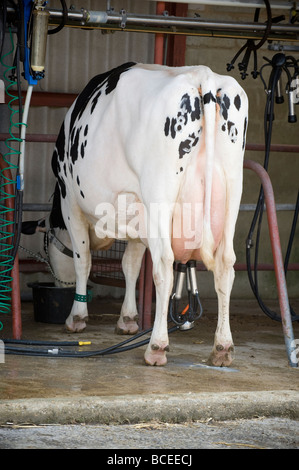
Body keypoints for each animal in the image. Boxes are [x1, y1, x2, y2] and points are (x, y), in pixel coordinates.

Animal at [24, 63, 248, 368]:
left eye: (47, 248)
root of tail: (203, 75)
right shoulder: (139, 213)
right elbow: (130, 265)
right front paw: (128, 319)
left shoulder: (71, 202)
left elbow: (84, 261)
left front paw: (77, 317)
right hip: (231, 192)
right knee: (226, 264)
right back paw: (222, 348)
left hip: (159, 191)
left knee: (164, 264)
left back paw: (156, 346)